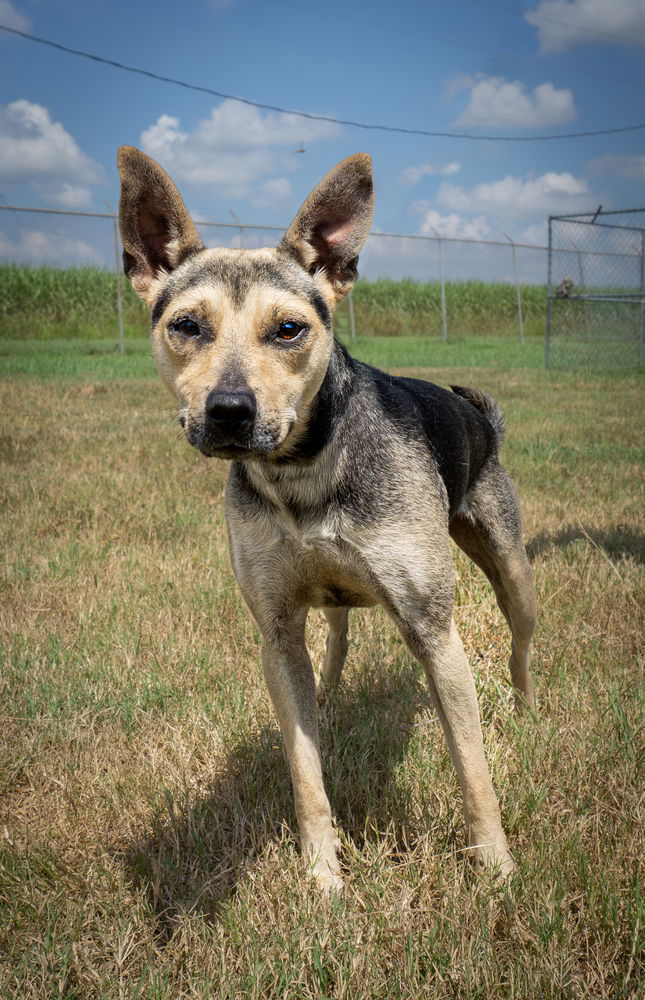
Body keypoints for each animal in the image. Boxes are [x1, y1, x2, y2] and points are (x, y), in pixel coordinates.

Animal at [118, 146, 536, 892]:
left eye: (289, 329)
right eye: (186, 326)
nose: (229, 413)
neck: (302, 472)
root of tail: (478, 416)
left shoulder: (434, 630)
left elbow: (472, 767)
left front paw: (495, 866)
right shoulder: (278, 633)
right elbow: (306, 774)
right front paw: (322, 878)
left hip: (509, 567)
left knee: (518, 643)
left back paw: (524, 713)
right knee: (336, 642)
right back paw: (335, 696)